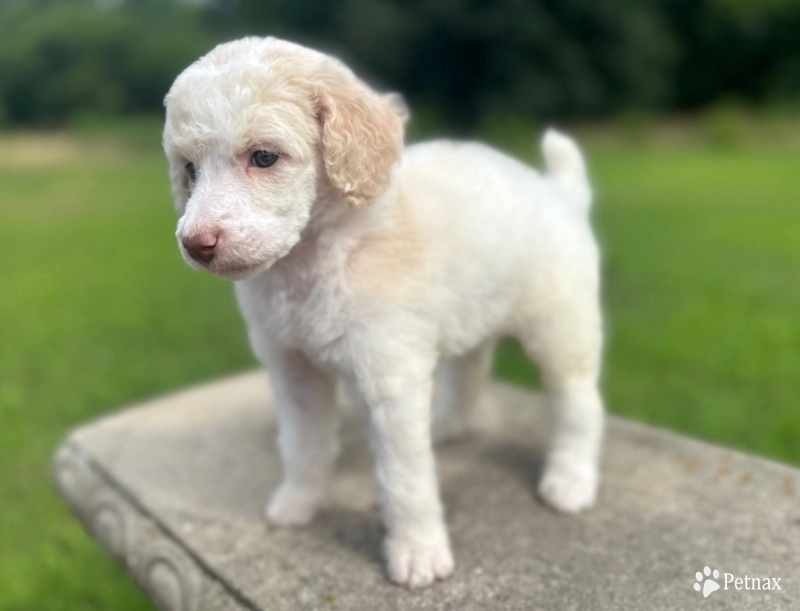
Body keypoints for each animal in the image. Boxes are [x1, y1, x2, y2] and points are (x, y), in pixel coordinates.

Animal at [166, 37, 604, 588]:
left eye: (264, 157)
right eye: (189, 169)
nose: (195, 244)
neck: (317, 255)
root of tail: (560, 194)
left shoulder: (390, 379)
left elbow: (404, 478)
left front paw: (417, 553)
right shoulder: (293, 370)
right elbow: (302, 444)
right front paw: (298, 503)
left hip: (560, 326)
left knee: (578, 403)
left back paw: (570, 479)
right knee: (472, 364)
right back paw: (451, 424)